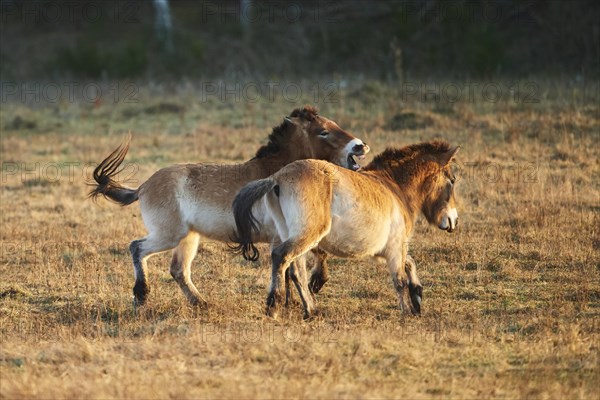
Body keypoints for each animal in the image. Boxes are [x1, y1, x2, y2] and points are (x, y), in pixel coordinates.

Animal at [88, 105, 370, 306]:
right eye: (323, 131)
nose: (360, 146)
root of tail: (144, 187)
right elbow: (304, 258)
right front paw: (309, 288)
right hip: (169, 235)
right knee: (137, 248)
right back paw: (142, 295)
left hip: (188, 237)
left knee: (178, 270)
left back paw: (202, 304)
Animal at [233, 141, 460, 318]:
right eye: (452, 180)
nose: (453, 221)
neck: (394, 188)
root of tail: (278, 178)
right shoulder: (395, 247)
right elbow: (400, 279)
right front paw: (409, 311)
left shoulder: (386, 250)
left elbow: (409, 263)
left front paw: (417, 295)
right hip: (306, 236)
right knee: (281, 258)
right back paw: (275, 306)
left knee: (296, 271)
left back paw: (311, 310)